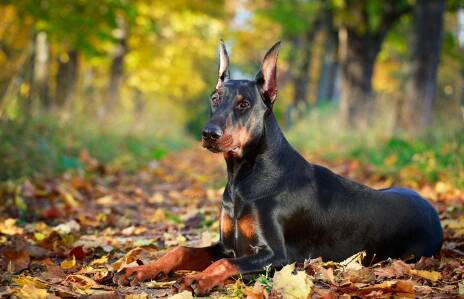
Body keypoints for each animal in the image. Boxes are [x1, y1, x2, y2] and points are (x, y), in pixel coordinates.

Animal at [115, 41, 442, 296]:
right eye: (215, 98)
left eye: (244, 104)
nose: (208, 133)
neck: (244, 177)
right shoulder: (227, 244)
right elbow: (181, 250)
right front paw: (140, 270)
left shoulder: (278, 256)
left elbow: (224, 263)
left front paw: (199, 279)